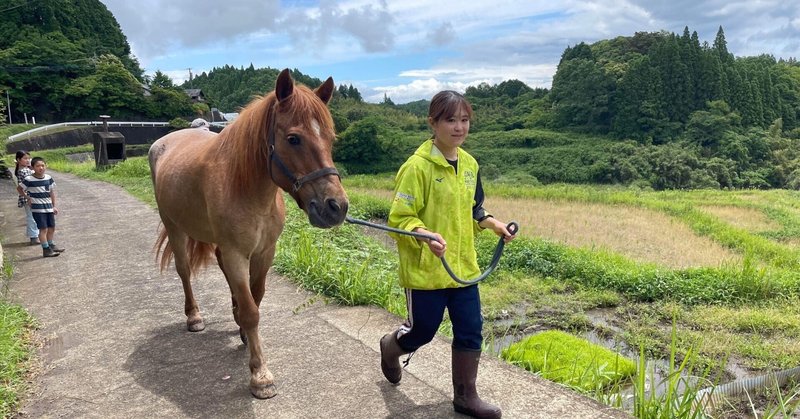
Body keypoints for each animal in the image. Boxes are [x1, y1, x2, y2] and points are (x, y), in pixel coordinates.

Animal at [148, 69, 348, 400]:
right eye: (293, 139)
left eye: (330, 139)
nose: (337, 207)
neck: (247, 188)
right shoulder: (236, 253)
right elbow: (253, 311)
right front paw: (260, 375)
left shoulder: (265, 252)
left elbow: (256, 297)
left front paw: (243, 328)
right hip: (174, 226)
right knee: (184, 270)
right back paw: (194, 316)